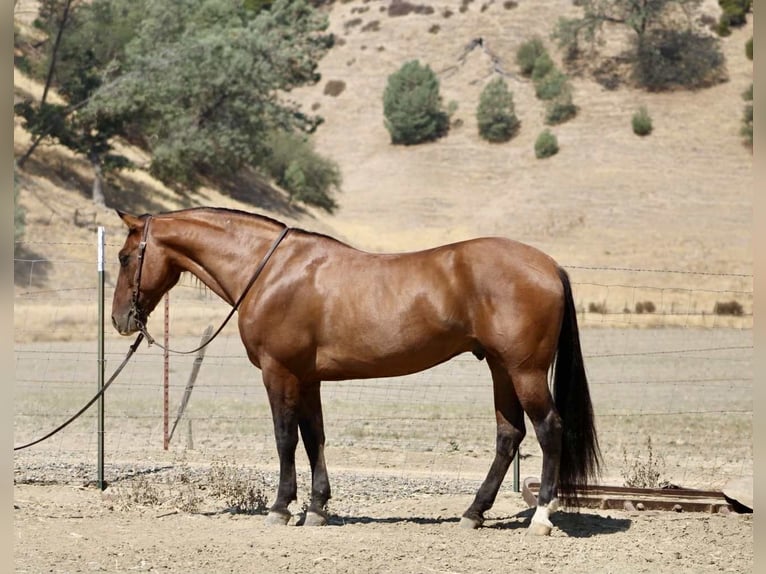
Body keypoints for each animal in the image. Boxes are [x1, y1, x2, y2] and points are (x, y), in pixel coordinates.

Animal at [111, 207, 601, 535]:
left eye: (124, 256)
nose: (121, 320)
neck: (271, 270)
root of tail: (549, 266)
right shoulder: (308, 378)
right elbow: (314, 438)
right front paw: (317, 508)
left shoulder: (279, 372)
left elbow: (285, 438)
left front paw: (281, 507)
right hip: (501, 369)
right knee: (508, 434)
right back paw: (473, 513)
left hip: (524, 370)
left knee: (549, 428)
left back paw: (541, 517)